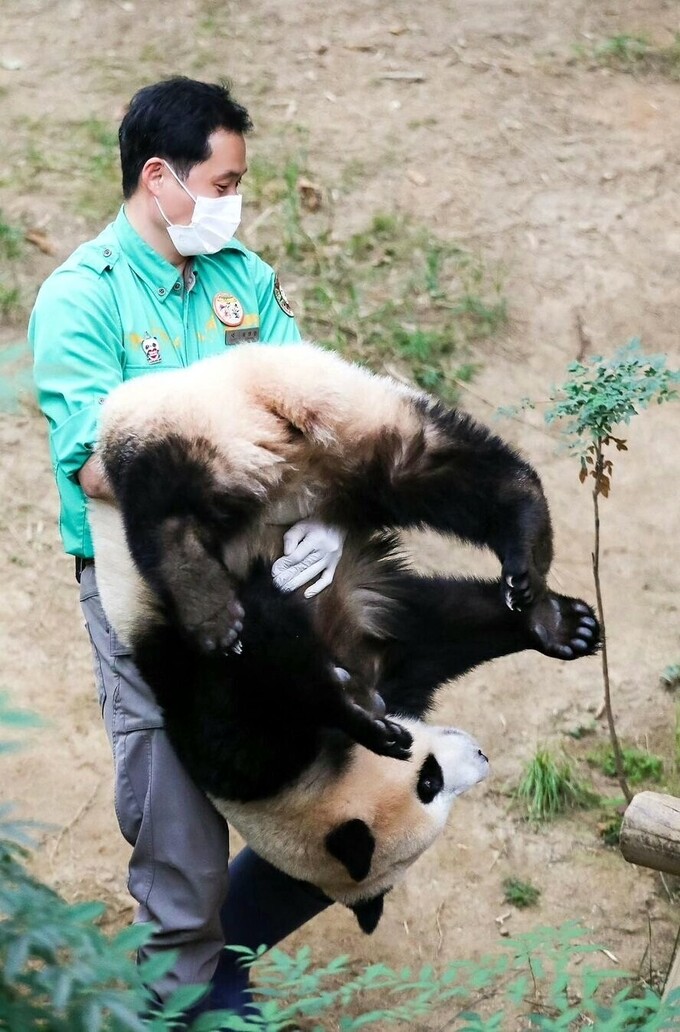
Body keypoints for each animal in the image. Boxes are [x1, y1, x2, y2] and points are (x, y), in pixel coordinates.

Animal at [87, 338, 598, 928]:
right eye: (430, 784)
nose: (480, 756)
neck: (298, 773)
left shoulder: (245, 716)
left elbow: (285, 661)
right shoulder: (354, 661)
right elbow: (434, 632)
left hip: (202, 421)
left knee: (159, 493)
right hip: (323, 428)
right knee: (431, 463)